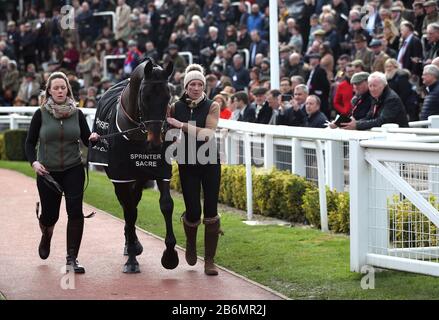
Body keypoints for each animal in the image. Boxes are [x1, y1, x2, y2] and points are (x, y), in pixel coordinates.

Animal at [89, 59, 179, 272]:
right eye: (145, 97)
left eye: (168, 97)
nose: (155, 142)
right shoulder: (120, 176)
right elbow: (128, 211)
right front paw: (131, 258)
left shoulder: (160, 170)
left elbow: (166, 204)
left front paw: (170, 255)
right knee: (128, 206)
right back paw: (132, 245)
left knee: (134, 202)